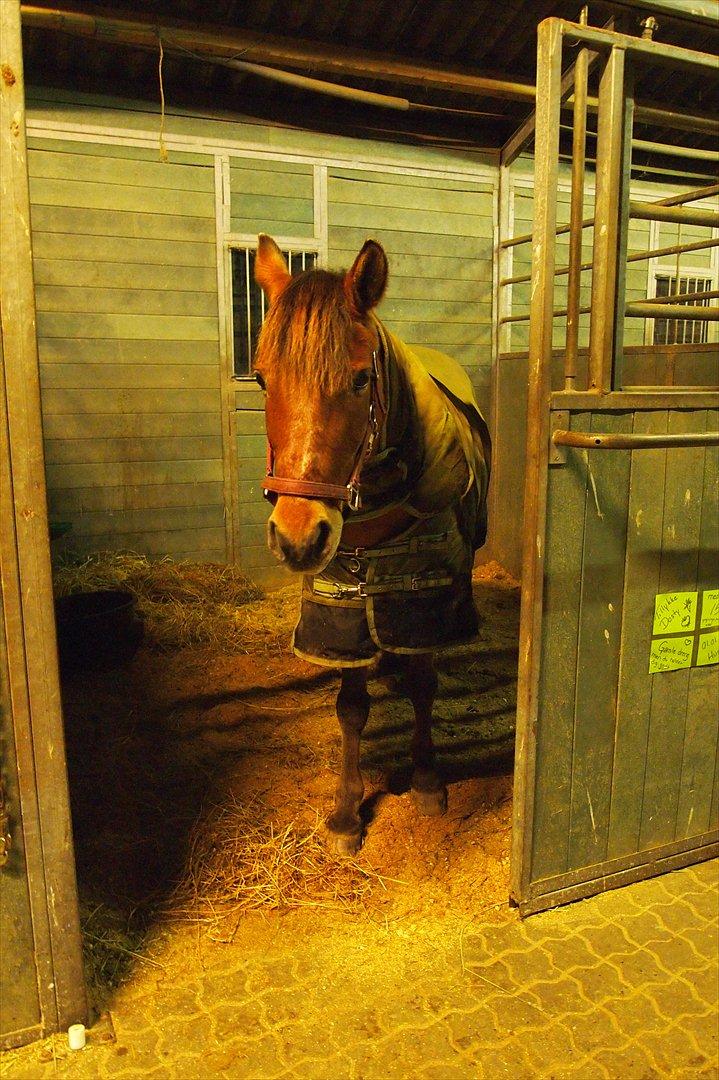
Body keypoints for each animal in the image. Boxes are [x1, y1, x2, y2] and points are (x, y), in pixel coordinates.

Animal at [253, 234, 491, 855]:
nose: (298, 537)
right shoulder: (339, 614)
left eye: (361, 379)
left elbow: (424, 684)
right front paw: (345, 813)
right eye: (261, 378)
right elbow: (351, 709)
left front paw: (428, 782)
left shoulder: (423, 603)